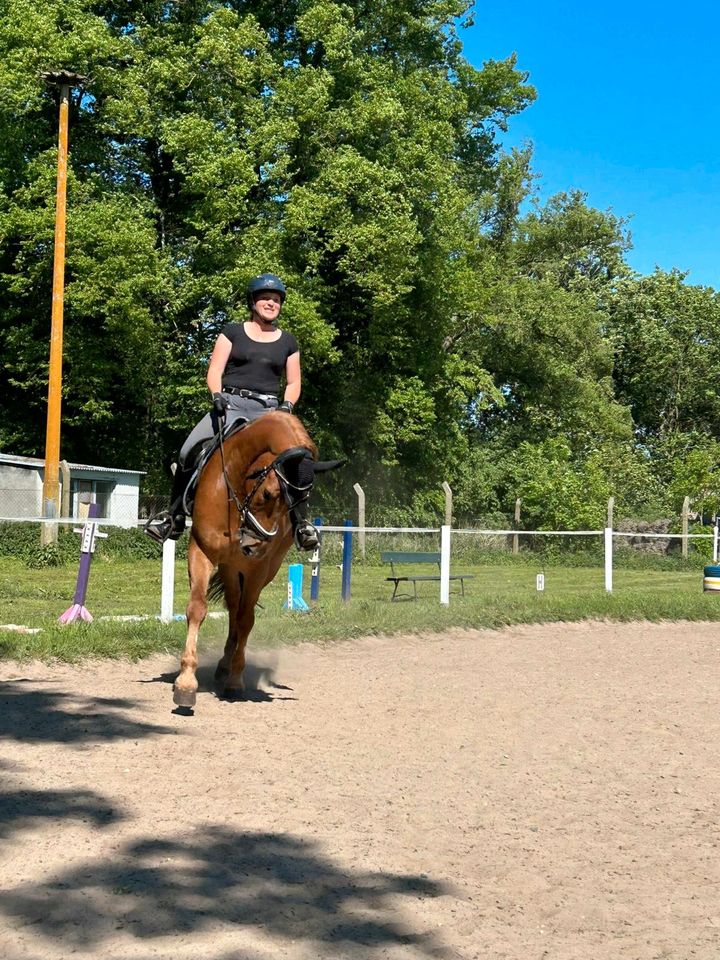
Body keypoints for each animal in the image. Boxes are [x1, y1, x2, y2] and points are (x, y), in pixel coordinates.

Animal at [174, 408, 330, 708]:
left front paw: (236, 681)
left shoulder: (257, 568)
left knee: (239, 612)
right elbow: (197, 608)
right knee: (234, 607)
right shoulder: (201, 551)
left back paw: (227, 667)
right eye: (268, 493)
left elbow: (247, 620)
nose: (255, 544)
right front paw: (186, 683)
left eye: (301, 501)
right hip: (229, 567)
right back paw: (222, 665)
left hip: (254, 569)